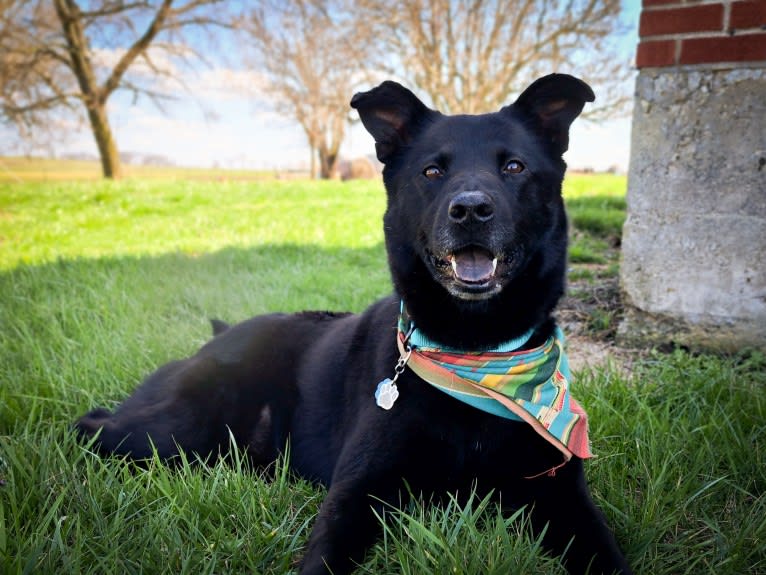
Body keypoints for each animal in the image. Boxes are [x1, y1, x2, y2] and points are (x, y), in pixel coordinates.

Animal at [76, 76, 632, 575]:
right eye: (432, 171)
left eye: (514, 166)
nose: (471, 209)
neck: (474, 352)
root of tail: (220, 333)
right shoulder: (358, 490)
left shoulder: (562, 494)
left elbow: (609, 558)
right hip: (178, 428)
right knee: (93, 426)